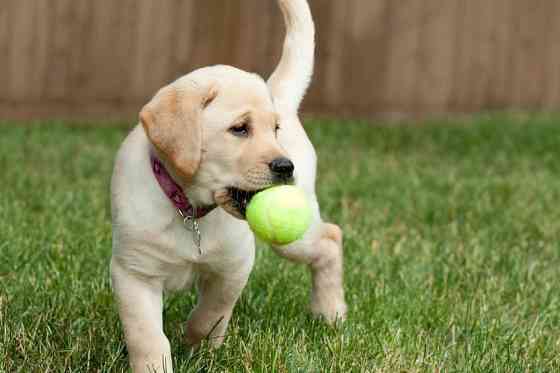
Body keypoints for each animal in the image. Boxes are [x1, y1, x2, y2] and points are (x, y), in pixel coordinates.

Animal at [109, 1, 346, 370]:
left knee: (331, 239)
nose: (285, 166)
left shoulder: (233, 267)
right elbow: (146, 336)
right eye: (239, 129)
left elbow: (211, 314)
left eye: (274, 129)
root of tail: (278, 94)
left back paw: (329, 312)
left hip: (293, 238)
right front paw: (156, 364)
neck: (190, 209)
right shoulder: (134, 272)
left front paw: (198, 347)